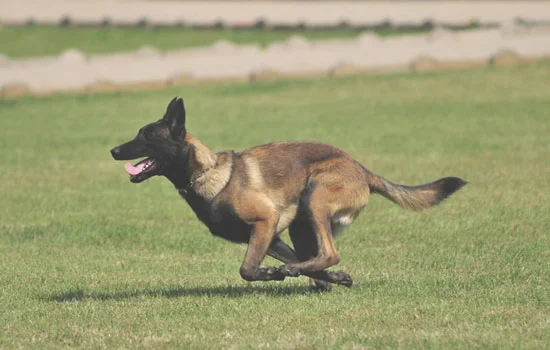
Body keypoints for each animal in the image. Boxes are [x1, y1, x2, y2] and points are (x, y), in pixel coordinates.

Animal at [112, 98, 470, 290]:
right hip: (302, 223)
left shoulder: (265, 222)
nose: (114, 150)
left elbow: (247, 269)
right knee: (316, 258)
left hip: (315, 197)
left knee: (329, 252)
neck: (209, 173)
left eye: (146, 136)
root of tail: (362, 169)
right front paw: (334, 279)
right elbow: (302, 265)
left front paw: (273, 273)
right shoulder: (271, 236)